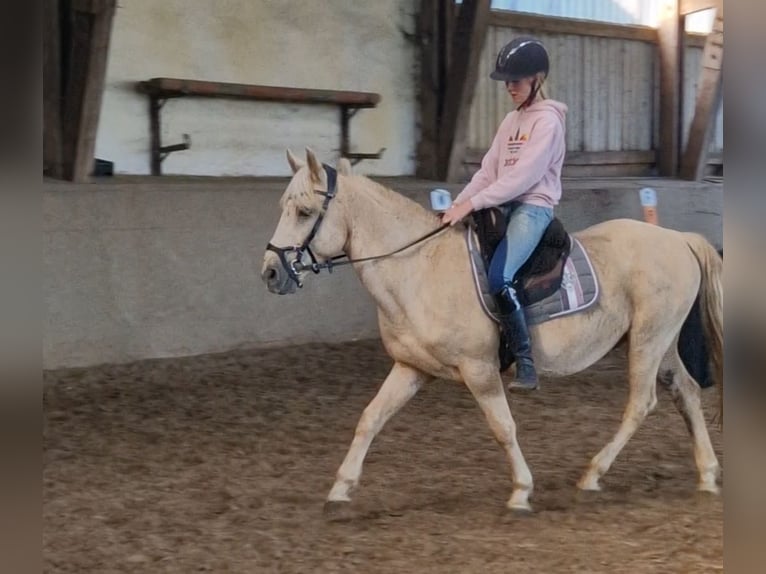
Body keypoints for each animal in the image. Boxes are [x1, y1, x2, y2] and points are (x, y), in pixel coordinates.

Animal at [260, 148, 724, 512]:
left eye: (304, 212)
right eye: (283, 206)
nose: (270, 273)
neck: (419, 267)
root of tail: (679, 239)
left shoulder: (479, 371)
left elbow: (503, 427)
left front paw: (521, 491)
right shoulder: (411, 368)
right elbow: (370, 418)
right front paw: (341, 487)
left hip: (647, 340)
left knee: (641, 403)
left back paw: (593, 473)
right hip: (660, 343)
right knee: (686, 392)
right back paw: (706, 473)